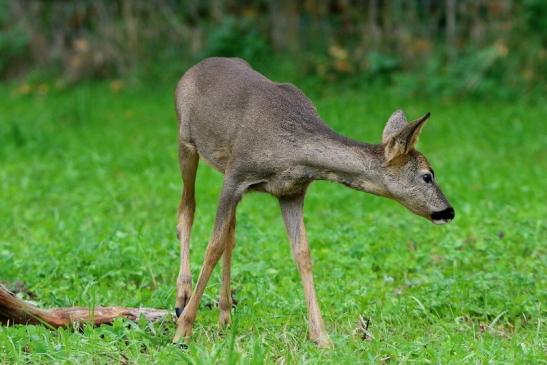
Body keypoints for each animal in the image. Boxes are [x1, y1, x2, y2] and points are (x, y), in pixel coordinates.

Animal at [173, 57, 456, 346]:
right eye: (427, 176)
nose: (448, 211)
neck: (292, 149)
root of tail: (194, 68)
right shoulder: (236, 176)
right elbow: (213, 246)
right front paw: (184, 328)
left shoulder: (291, 192)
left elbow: (302, 254)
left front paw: (321, 336)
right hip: (186, 141)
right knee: (187, 209)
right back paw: (182, 297)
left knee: (231, 232)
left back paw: (225, 315)